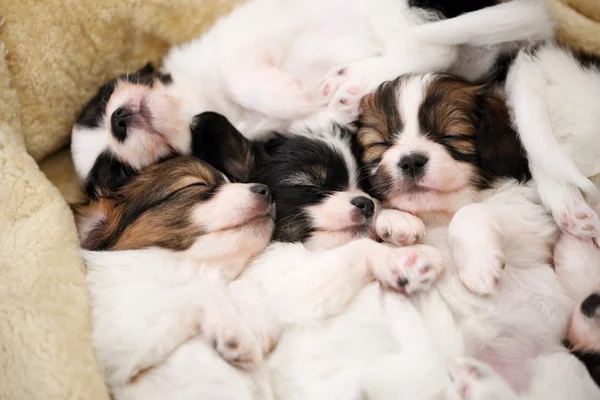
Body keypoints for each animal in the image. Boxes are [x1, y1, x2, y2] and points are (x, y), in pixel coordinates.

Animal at [70, 0, 552, 195]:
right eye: (115, 170)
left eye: (102, 99)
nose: (118, 120)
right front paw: (303, 101)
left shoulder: (248, 37)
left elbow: (243, 73)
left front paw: (293, 94)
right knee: (439, 50)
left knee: (429, 44)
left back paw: (352, 82)